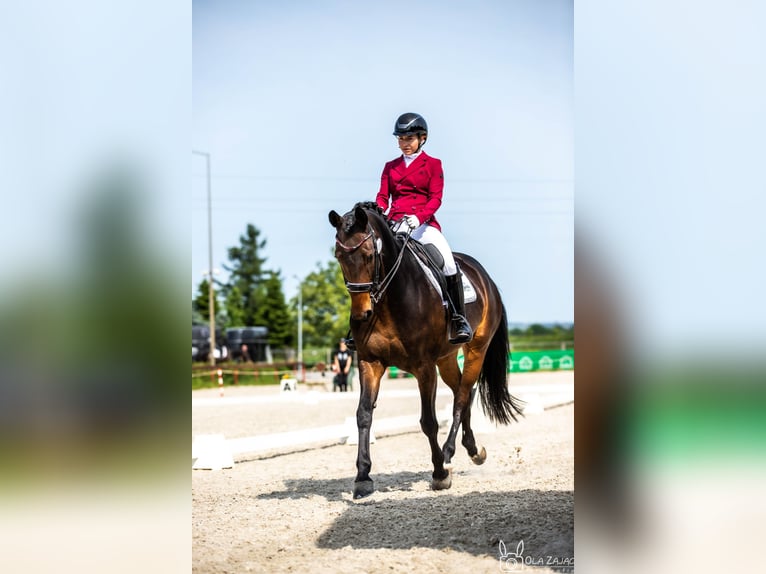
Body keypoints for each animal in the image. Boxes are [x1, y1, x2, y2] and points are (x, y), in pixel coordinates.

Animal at [328, 202, 524, 500]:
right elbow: (363, 415)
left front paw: (440, 474)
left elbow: (428, 421)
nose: (362, 315)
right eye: (339, 256)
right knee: (462, 392)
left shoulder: (424, 366)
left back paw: (449, 453)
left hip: (476, 350)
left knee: (463, 396)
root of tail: (484, 276)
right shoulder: (370, 362)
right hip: (446, 358)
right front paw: (362, 478)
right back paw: (472, 450)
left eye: (369, 255)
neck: (390, 299)